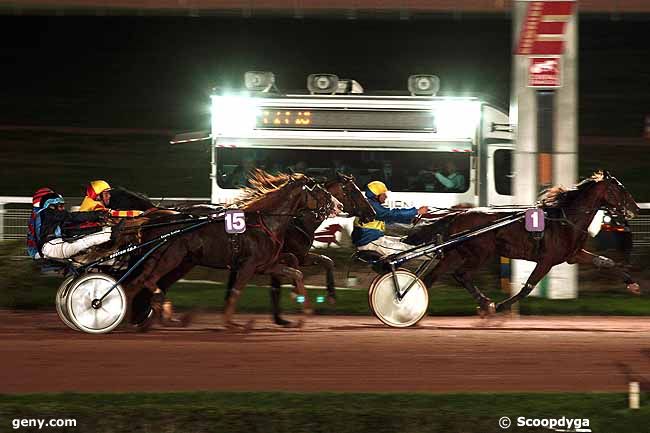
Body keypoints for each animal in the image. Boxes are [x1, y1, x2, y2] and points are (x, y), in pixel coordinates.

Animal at [121, 171, 340, 328]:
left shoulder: (265, 265)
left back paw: (133, 319)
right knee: (150, 281)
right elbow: (236, 290)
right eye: (321, 192)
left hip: (167, 260)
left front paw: (304, 312)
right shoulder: (248, 266)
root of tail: (159, 218)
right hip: (173, 258)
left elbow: (296, 273)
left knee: (136, 284)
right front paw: (230, 322)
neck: (265, 223)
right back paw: (157, 310)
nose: (337, 205)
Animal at [402, 170, 640, 316]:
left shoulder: (573, 255)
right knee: (460, 274)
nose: (636, 209)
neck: (565, 218)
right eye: (619, 189)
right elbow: (528, 286)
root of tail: (457, 215)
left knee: (438, 275)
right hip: (479, 253)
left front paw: (632, 284)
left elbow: (606, 261)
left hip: (458, 252)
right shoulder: (547, 260)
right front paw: (501, 306)